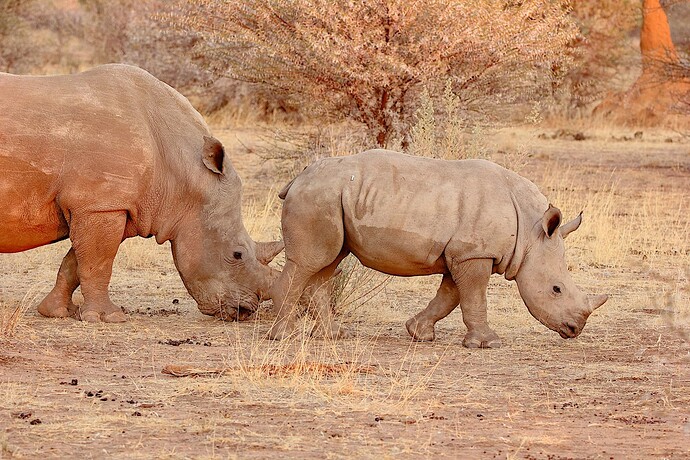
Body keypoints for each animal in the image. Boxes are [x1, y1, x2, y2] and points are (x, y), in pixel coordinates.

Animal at [0, 64, 283, 323]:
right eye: (237, 254)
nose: (244, 311)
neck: (184, 174)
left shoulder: (110, 206)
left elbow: (75, 262)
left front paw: (57, 312)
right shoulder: (100, 205)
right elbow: (98, 263)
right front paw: (108, 317)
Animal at [268, 149, 608, 346]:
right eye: (556, 289)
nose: (574, 329)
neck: (530, 232)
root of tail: (298, 178)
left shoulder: (462, 253)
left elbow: (450, 296)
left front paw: (419, 333)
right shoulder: (474, 253)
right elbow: (473, 297)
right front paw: (488, 344)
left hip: (330, 197)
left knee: (327, 263)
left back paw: (334, 335)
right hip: (318, 197)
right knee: (309, 263)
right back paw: (285, 337)